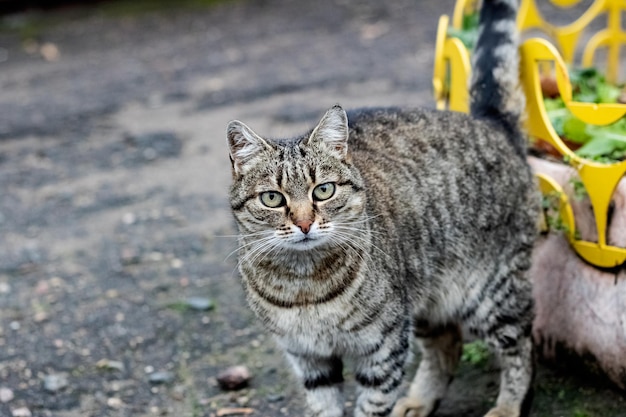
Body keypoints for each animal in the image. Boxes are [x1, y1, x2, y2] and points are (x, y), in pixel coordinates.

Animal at [224, 0, 536, 416]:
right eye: (273, 198)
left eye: (323, 191)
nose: (305, 223)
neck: (304, 284)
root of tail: (488, 120)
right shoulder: (309, 358)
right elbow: (325, 406)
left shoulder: (384, 346)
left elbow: (371, 404)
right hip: (425, 298)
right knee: (447, 344)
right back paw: (419, 400)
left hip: (491, 293)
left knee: (522, 345)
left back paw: (507, 406)